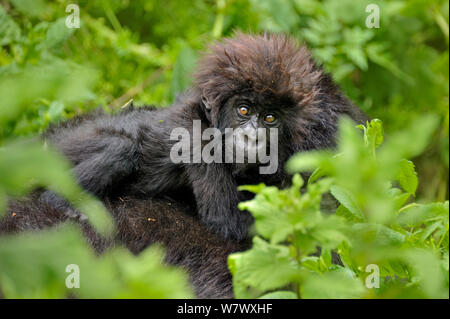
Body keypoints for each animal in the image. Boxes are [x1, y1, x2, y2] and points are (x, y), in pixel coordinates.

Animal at [40, 33, 368, 242]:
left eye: (270, 118)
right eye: (243, 109)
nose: (251, 138)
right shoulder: (199, 144)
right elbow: (227, 222)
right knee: (121, 148)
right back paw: (62, 203)